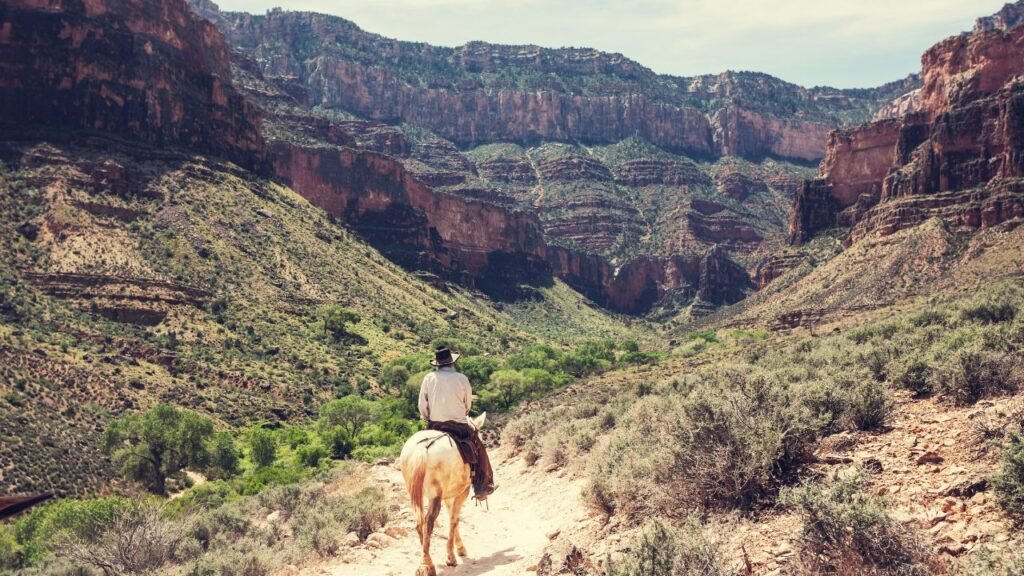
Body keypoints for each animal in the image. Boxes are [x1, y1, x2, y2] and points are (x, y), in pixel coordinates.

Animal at [399, 412, 487, 573]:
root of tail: (422, 448)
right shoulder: (462, 492)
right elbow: (454, 519)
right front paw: (452, 556)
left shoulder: (447, 495)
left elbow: (452, 515)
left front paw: (458, 549)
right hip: (435, 495)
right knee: (428, 521)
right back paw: (428, 565)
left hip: (415, 493)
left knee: (419, 522)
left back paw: (426, 560)